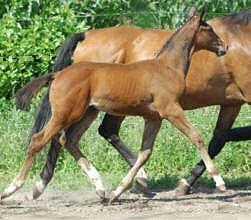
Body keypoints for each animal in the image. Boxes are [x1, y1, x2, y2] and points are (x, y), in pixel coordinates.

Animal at [18, 8, 251, 199]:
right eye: (209, 29)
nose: (224, 47)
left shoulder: (227, 104)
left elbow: (217, 138)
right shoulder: (173, 109)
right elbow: (203, 137)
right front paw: (212, 182)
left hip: (90, 110)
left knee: (75, 136)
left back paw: (114, 185)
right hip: (79, 110)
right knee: (55, 137)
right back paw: (34, 185)